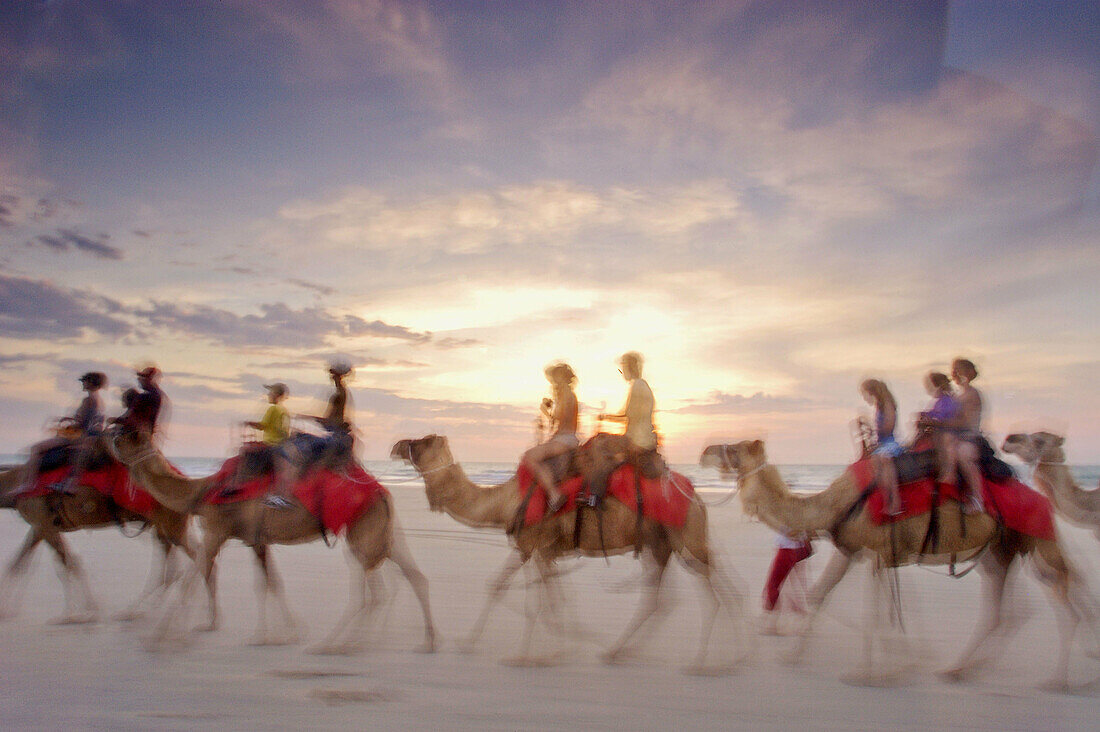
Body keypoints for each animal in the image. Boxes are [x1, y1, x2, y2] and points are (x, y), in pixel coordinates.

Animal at [0, 457, 195, 620]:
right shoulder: (41, 526)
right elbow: (23, 563)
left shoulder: (43, 523)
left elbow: (65, 563)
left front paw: (74, 612)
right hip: (163, 524)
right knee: (172, 563)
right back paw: (140, 610)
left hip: (171, 522)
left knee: (191, 557)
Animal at [107, 424, 433, 647]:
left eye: (127, 434)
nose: (108, 433)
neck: (203, 491)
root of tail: (382, 492)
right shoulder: (256, 538)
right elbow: (270, 582)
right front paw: (282, 633)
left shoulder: (216, 530)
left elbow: (193, 576)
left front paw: (163, 637)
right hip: (379, 533)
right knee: (411, 575)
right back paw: (423, 640)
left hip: (362, 534)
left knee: (375, 589)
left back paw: (339, 645)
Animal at [387, 433, 739, 669]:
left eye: (422, 442)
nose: (396, 446)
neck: (506, 501)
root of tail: (696, 497)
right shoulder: (544, 550)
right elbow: (550, 597)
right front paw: (558, 650)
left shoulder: (531, 544)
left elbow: (520, 595)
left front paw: (518, 654)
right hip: (660, 543)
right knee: (670, 596)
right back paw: (621, 651)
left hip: (683, 537)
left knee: (713, 589)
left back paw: (705, 660)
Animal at [704, 440, 1100, 691]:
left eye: (734, 448)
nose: (706, 452)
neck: (834, 503)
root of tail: (1042, 499)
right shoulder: (854, 550)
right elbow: (824, 596)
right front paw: (792, 656)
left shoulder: (877, 553)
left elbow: (875, 614)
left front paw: (869, 674)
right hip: (998, 551)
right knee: (1008, 609)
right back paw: (960, 669)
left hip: (1037, 540)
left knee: (1064, 593)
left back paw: (1059, 679)